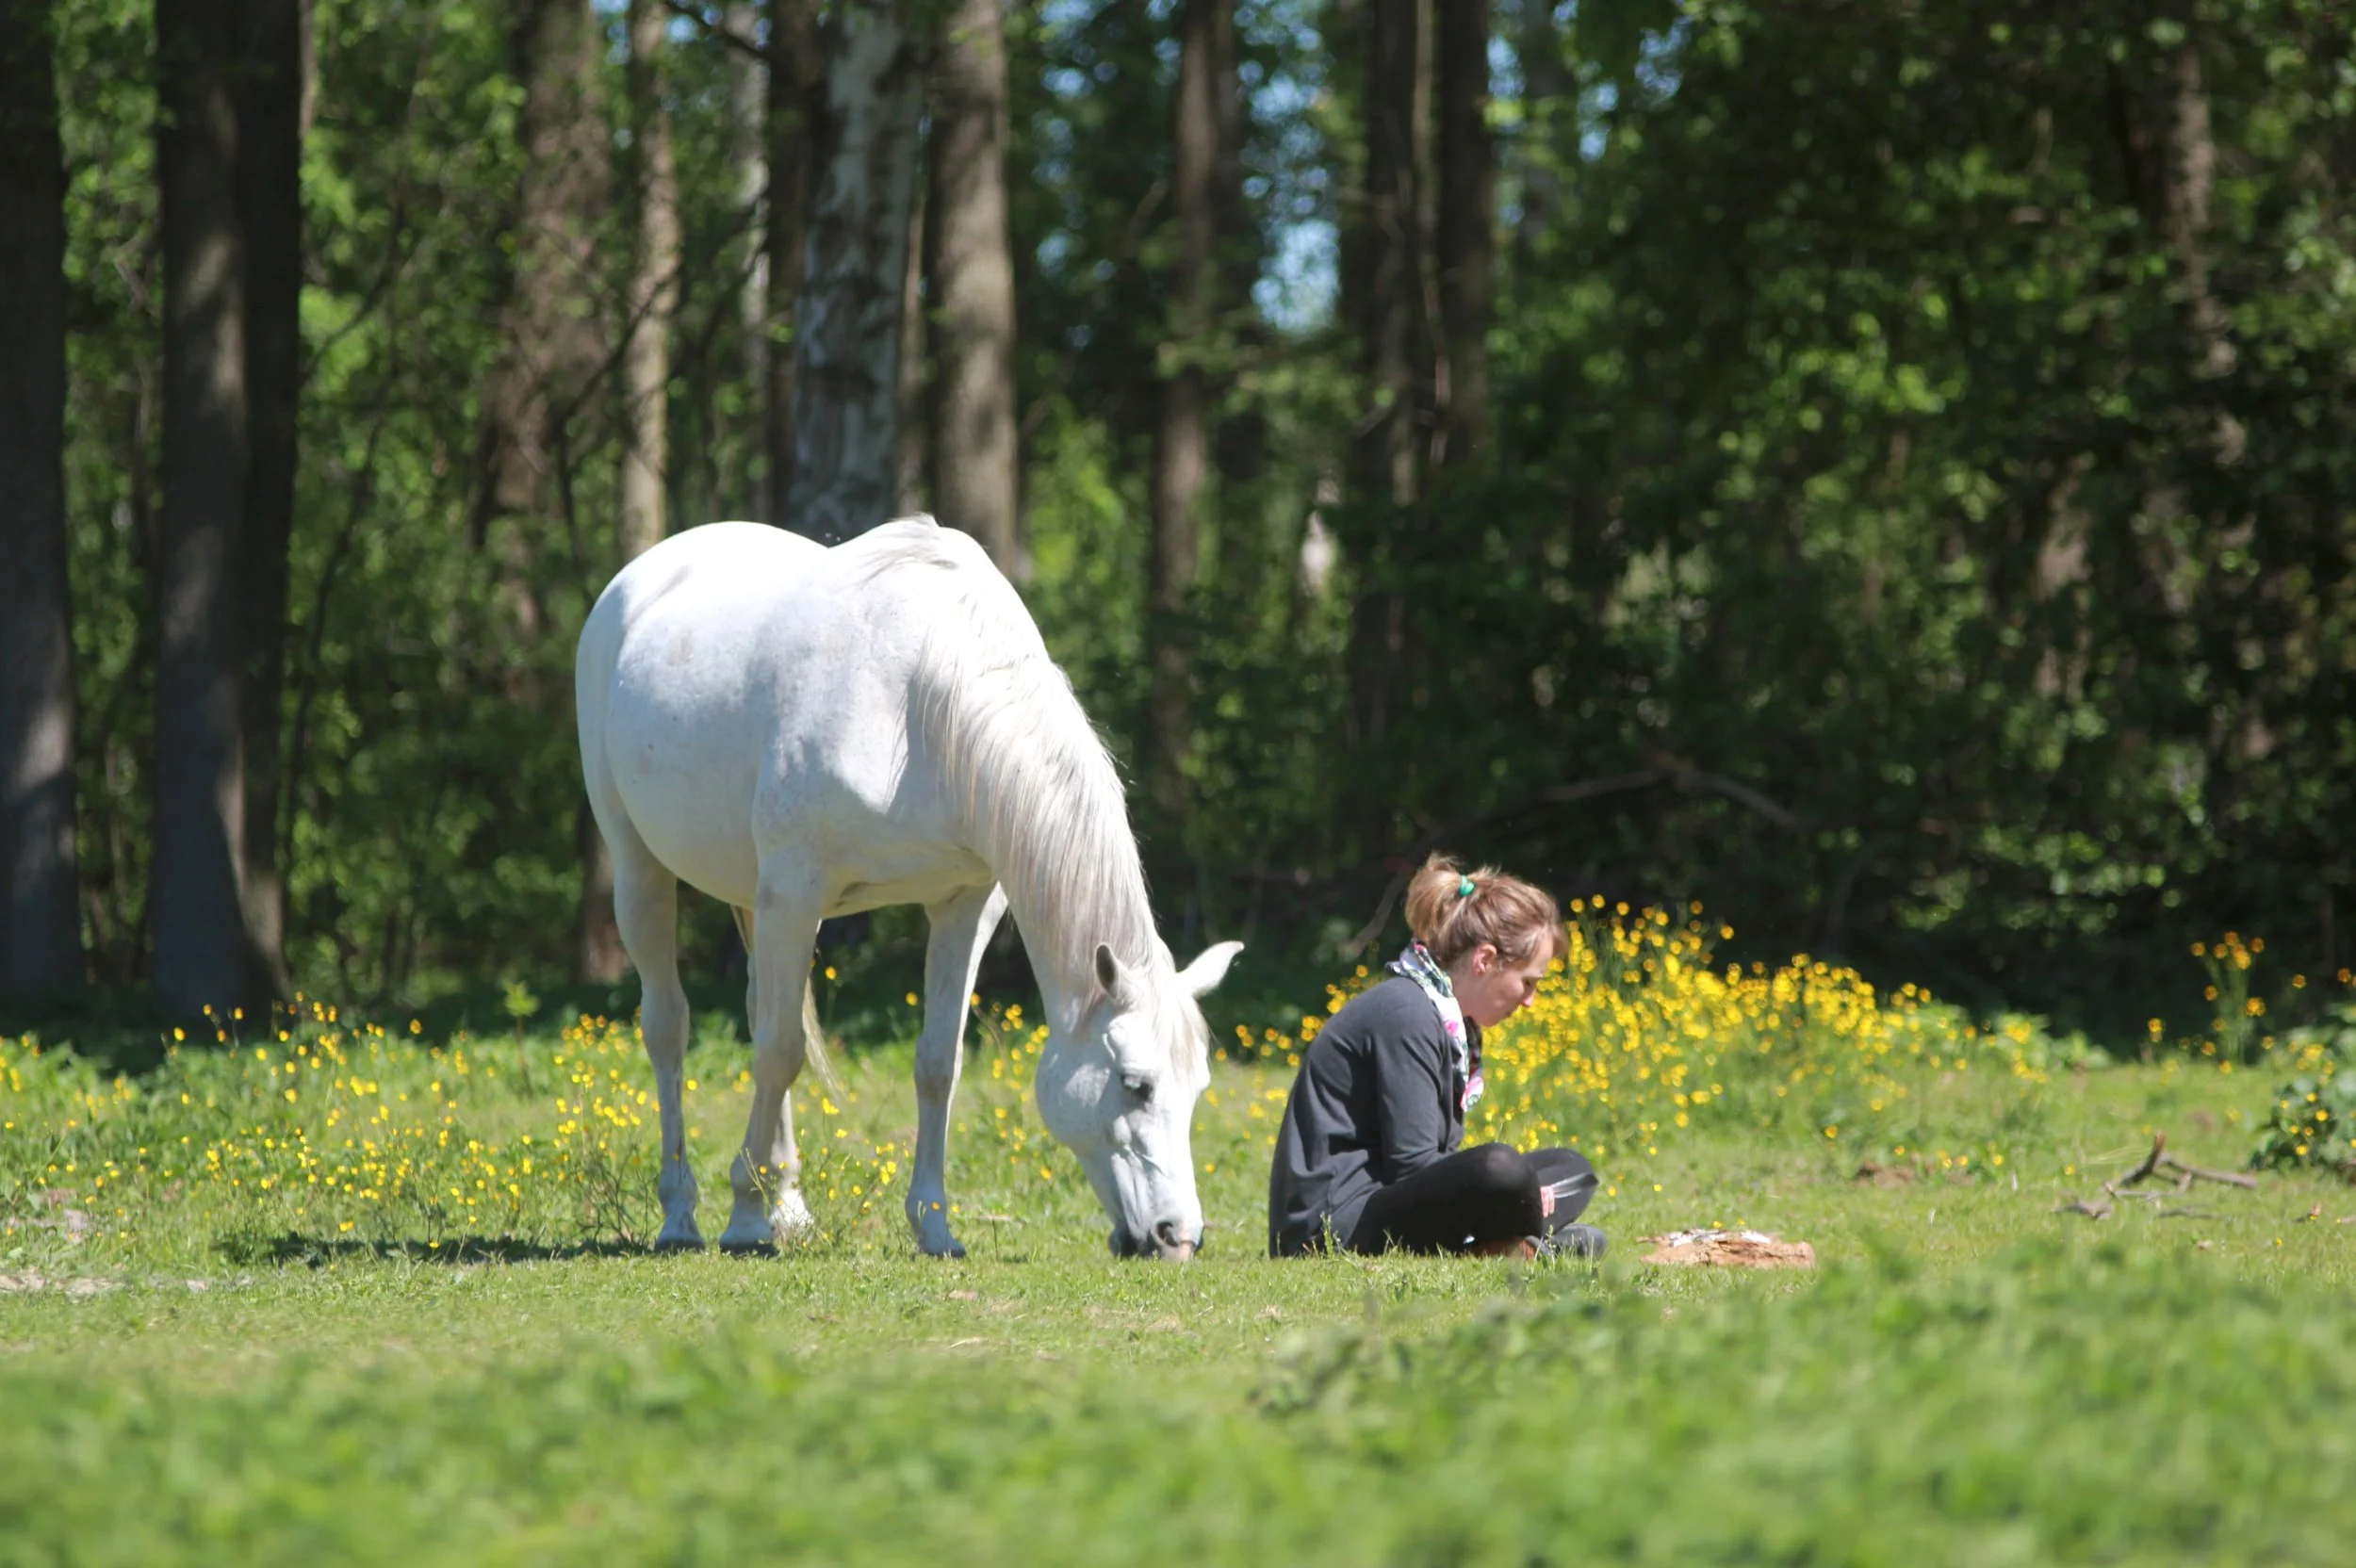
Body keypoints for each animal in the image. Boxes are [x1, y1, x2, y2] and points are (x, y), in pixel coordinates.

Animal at [574, 515, 1239, 1261]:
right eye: (1136, 1085)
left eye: (1198, 1086)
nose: (1178, 1236)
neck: (921, 702)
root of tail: (639, 581)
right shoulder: (795, 894)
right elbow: (779, 1053)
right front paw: (744, 1218)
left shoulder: (964, 906)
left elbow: (935, 1063)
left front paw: (934, 1225)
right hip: (645, 875)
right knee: (668, 1027)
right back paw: (682, 1214)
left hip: (757, 902)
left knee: (756, 1010)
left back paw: (789, 1206)